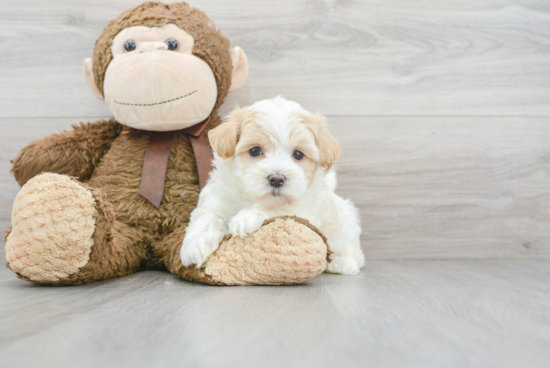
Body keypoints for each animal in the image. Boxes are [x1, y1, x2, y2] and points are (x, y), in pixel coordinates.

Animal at [181, 96, 366, 274]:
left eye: (298, 154)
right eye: (255, 151)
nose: (277, 179)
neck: (251, 198)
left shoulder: (305, 211)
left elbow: (279, 209)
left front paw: (247, 217)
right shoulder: (218, 196)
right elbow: (208, 215)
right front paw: (195, 245)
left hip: (346, 222)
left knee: (351, 250)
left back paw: (342, 263)